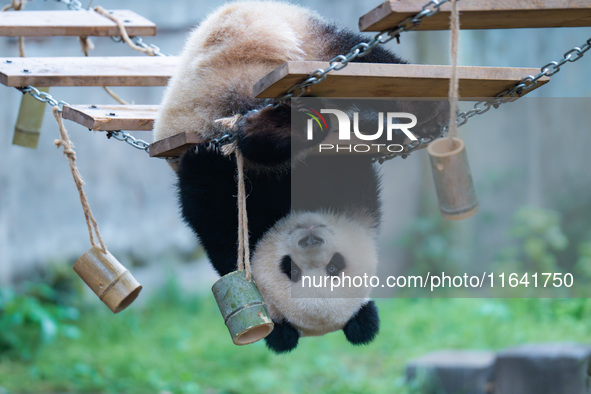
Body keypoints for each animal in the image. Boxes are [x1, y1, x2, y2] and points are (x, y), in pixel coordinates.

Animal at [155, 0, 446, 350]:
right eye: (290, 269)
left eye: (335, 265)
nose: (310, 238)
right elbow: (214, 213)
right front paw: (204, 158)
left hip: (290, 37)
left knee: (356, 58)